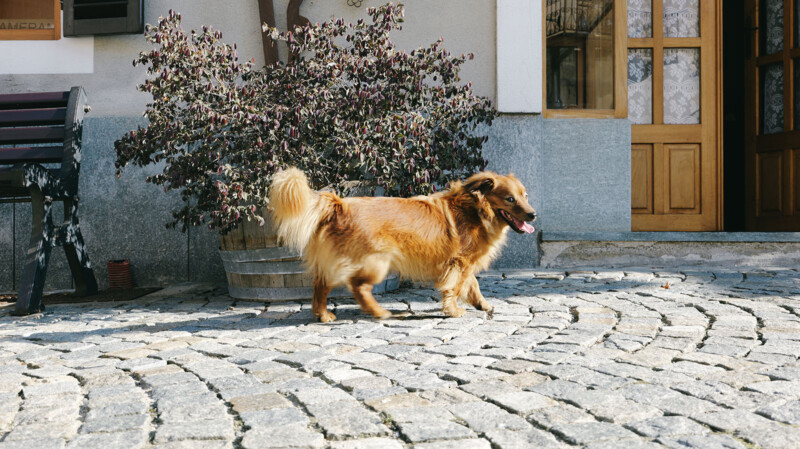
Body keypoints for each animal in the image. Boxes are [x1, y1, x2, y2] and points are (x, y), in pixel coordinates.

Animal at [268, 169, 536, 322]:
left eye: (525, 196)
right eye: (510, 199)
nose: (533, 215)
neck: (476, 210)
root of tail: (339, 205)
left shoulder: (464, 263)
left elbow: (473, 285)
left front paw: (482, 304)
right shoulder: (458, 263)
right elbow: (455, 287)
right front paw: (453, 310)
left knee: (321, 286)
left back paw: (322, 314)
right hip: (376, 262)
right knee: (358, 287)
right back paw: (379, 312)